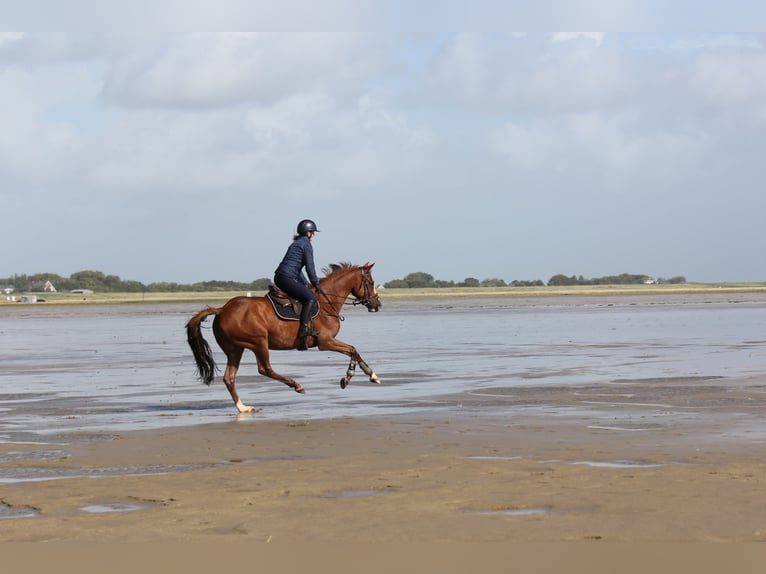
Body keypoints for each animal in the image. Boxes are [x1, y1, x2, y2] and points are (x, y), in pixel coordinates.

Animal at [186, 262, 382, 413]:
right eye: (371, 282)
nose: (377, 304)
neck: (327, 302)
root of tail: (222, 309)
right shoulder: (325, 342)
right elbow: (352, 350)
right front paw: (353, 377)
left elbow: (353, 351)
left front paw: (368, 375)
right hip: (258, 342)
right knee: (265, 369)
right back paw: (296, 385)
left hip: (235, 349)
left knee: (229, 378)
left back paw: (243, 408)